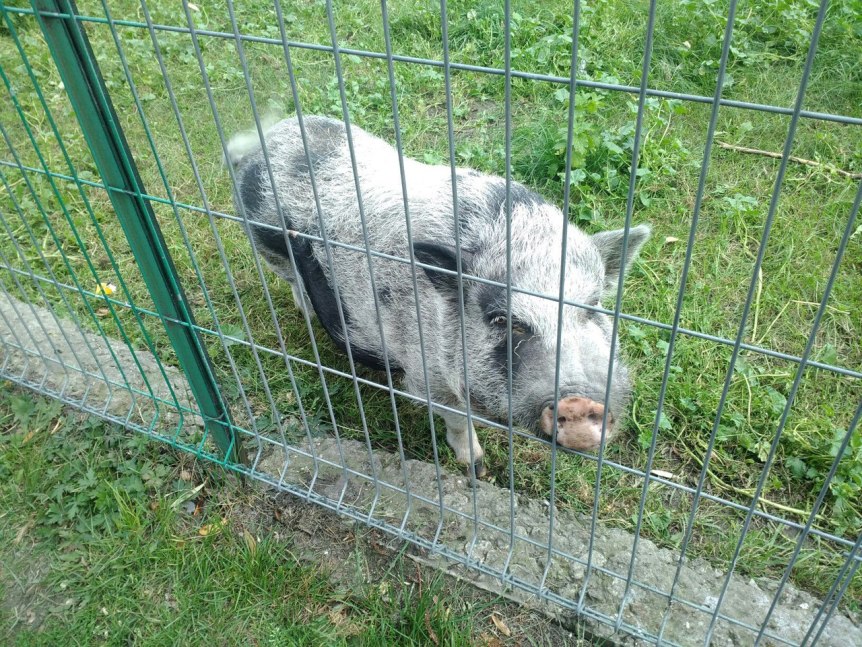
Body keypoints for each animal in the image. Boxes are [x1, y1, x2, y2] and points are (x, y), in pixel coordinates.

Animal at [226, 116, 652, 478]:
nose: (580, 403)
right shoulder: (426, 373)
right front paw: (477, 469)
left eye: (592, 307)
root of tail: (262, 143)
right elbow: (458, 421)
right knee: (292, 282)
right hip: (268, 245)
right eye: (501, 319)